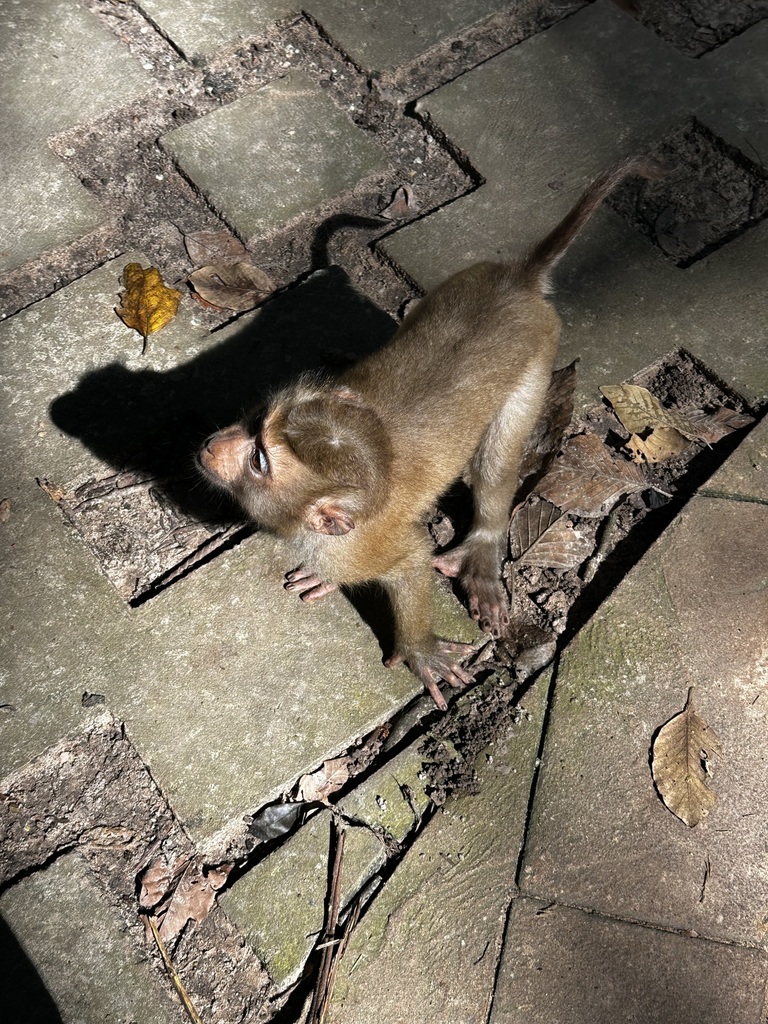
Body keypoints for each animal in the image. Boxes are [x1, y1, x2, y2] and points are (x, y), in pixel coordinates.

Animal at [198, 155, 663, 710]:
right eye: (255, 422)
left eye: (259, 462)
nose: (213, 444)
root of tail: (518, 282)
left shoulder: (367, 544)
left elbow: (412, 562)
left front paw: (419, 650)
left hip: (537, 360)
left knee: (496, 461)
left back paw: (483, 547)